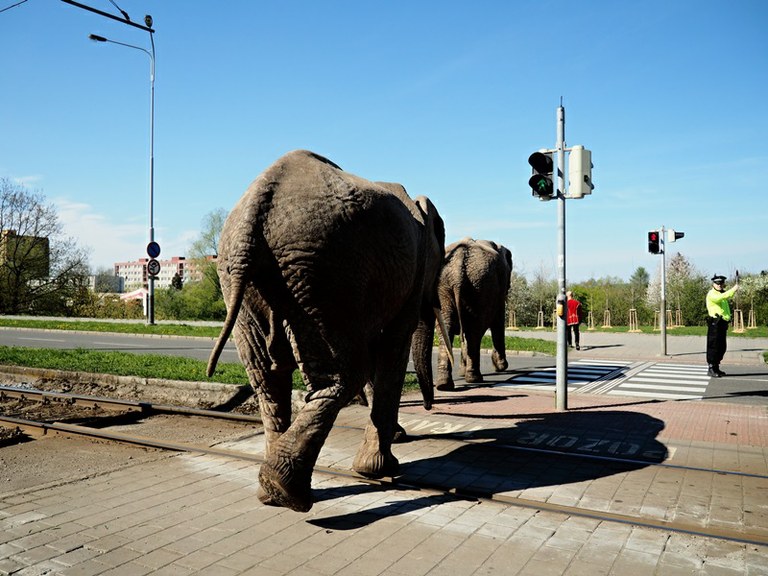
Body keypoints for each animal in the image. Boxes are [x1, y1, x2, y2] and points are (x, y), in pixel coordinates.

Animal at [206, 150, 444, 512]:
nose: (432, 407)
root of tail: (255, 208)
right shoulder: (410, 275)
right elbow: (391, 350)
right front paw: (380, 469)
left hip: (250, 273)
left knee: (267, 380)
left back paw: (271, 492)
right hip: (325, 273)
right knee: (345, 374)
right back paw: (288, 493)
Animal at [432, 236, 510, 390]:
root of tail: (457, 270)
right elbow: (498, 323)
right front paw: (501, 367)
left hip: (447, 287)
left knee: (450, 329)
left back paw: (444, 385)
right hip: (478, 286)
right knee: (473, 331)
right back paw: (474, 379)